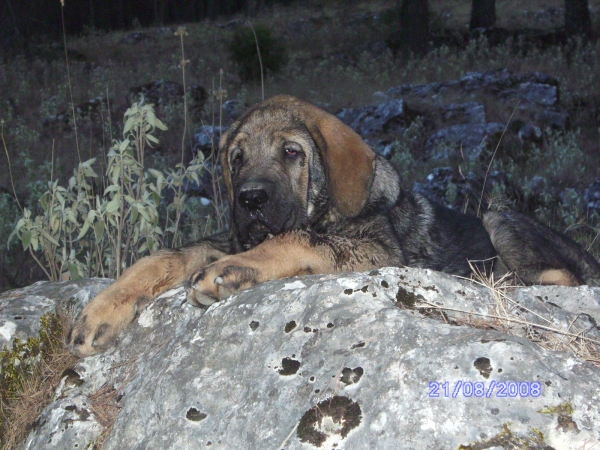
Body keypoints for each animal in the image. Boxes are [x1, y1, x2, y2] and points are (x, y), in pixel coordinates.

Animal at [69, 96, 600, 358]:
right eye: (236, 159)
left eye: (292, 153)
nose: (250, 200)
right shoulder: (232, 234)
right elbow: (166, 255)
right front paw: (99, 312)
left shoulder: (380, 252)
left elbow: (297, 236)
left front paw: (233, 271)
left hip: (496, 217)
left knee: (561, 275)